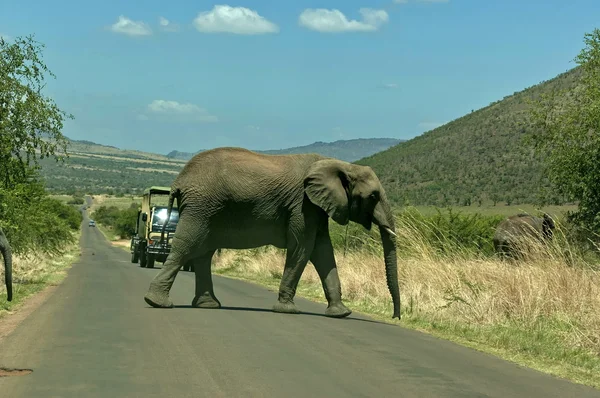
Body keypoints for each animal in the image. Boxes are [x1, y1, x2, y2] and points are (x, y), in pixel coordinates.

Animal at [143, 148, 400, 318]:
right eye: (373, 196)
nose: (395, 316)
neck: (340, 164)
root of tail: (179, 181)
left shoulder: (316, 207)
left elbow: (323, 251)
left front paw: (341, 314)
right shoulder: (303, 205)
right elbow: (302, 248)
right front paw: (288, 311)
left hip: (206, 210)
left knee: (203, 253)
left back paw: (207, 305)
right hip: (201, 207)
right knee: (187, 247)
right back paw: (157, 303)